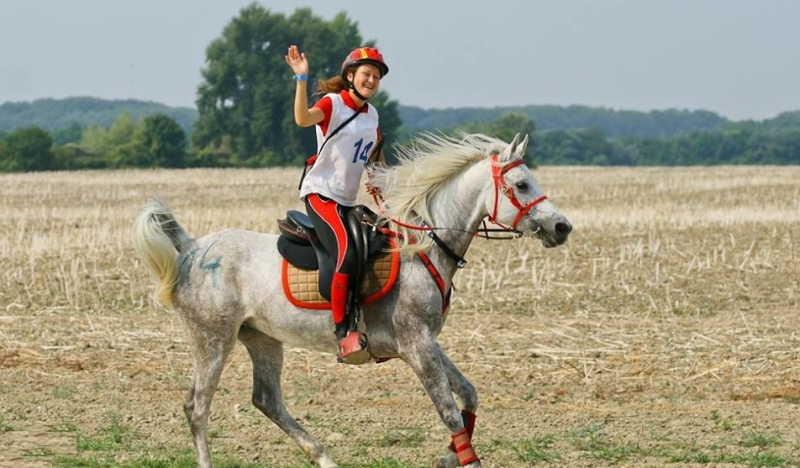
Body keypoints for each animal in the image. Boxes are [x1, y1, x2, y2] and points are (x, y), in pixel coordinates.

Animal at [133, 133, 568, 468]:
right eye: (523, 184)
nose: (563, 226)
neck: (424, 247)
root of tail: (192, 247)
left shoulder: (426, 342)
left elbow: (469, 395)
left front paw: (449, 456)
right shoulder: (417, 345)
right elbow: (449, 412)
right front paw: (466, 459)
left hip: (262, 339)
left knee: (267, 400)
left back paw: (324, 457)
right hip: (213, 339)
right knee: (198, 406)